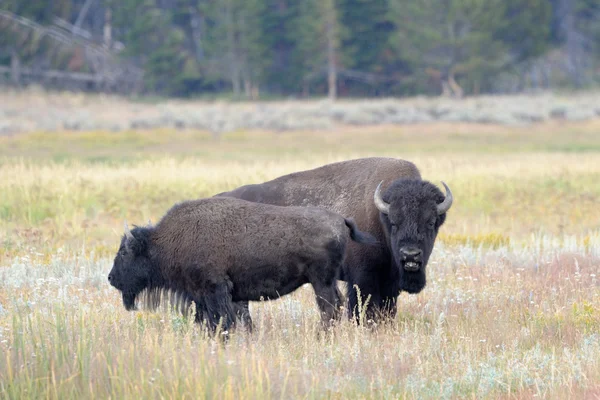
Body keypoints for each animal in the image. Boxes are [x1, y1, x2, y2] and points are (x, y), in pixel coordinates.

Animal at [106, 197, 376, 334]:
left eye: (125, 252)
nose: (110, 278)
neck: (164, 242)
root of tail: (340, 219)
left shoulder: (214, 290)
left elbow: (221, 320)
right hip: (325, 281)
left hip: (321, 281)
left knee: (329, 309)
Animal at [213, 158, 452, 324]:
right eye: (394, 222)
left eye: (431, 222)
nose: (410, 255)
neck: (378, 214)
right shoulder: (362, 279)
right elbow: (362, 311)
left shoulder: (389, 282)